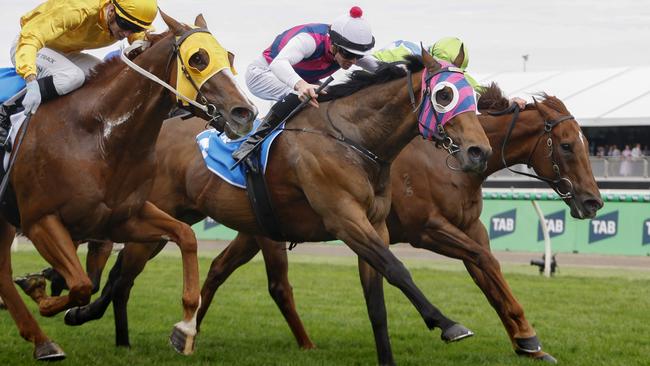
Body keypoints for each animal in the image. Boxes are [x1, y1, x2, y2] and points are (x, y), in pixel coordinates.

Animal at [0, 12, 256, 360]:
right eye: (198, 59)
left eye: (229, 57)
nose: (245, 113)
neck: (99, 137)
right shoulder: (40, 221)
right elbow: (80, 285)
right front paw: (40, 289)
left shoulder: (122, 218)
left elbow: (186, 237)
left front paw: (185, 328)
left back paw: (43, 342)